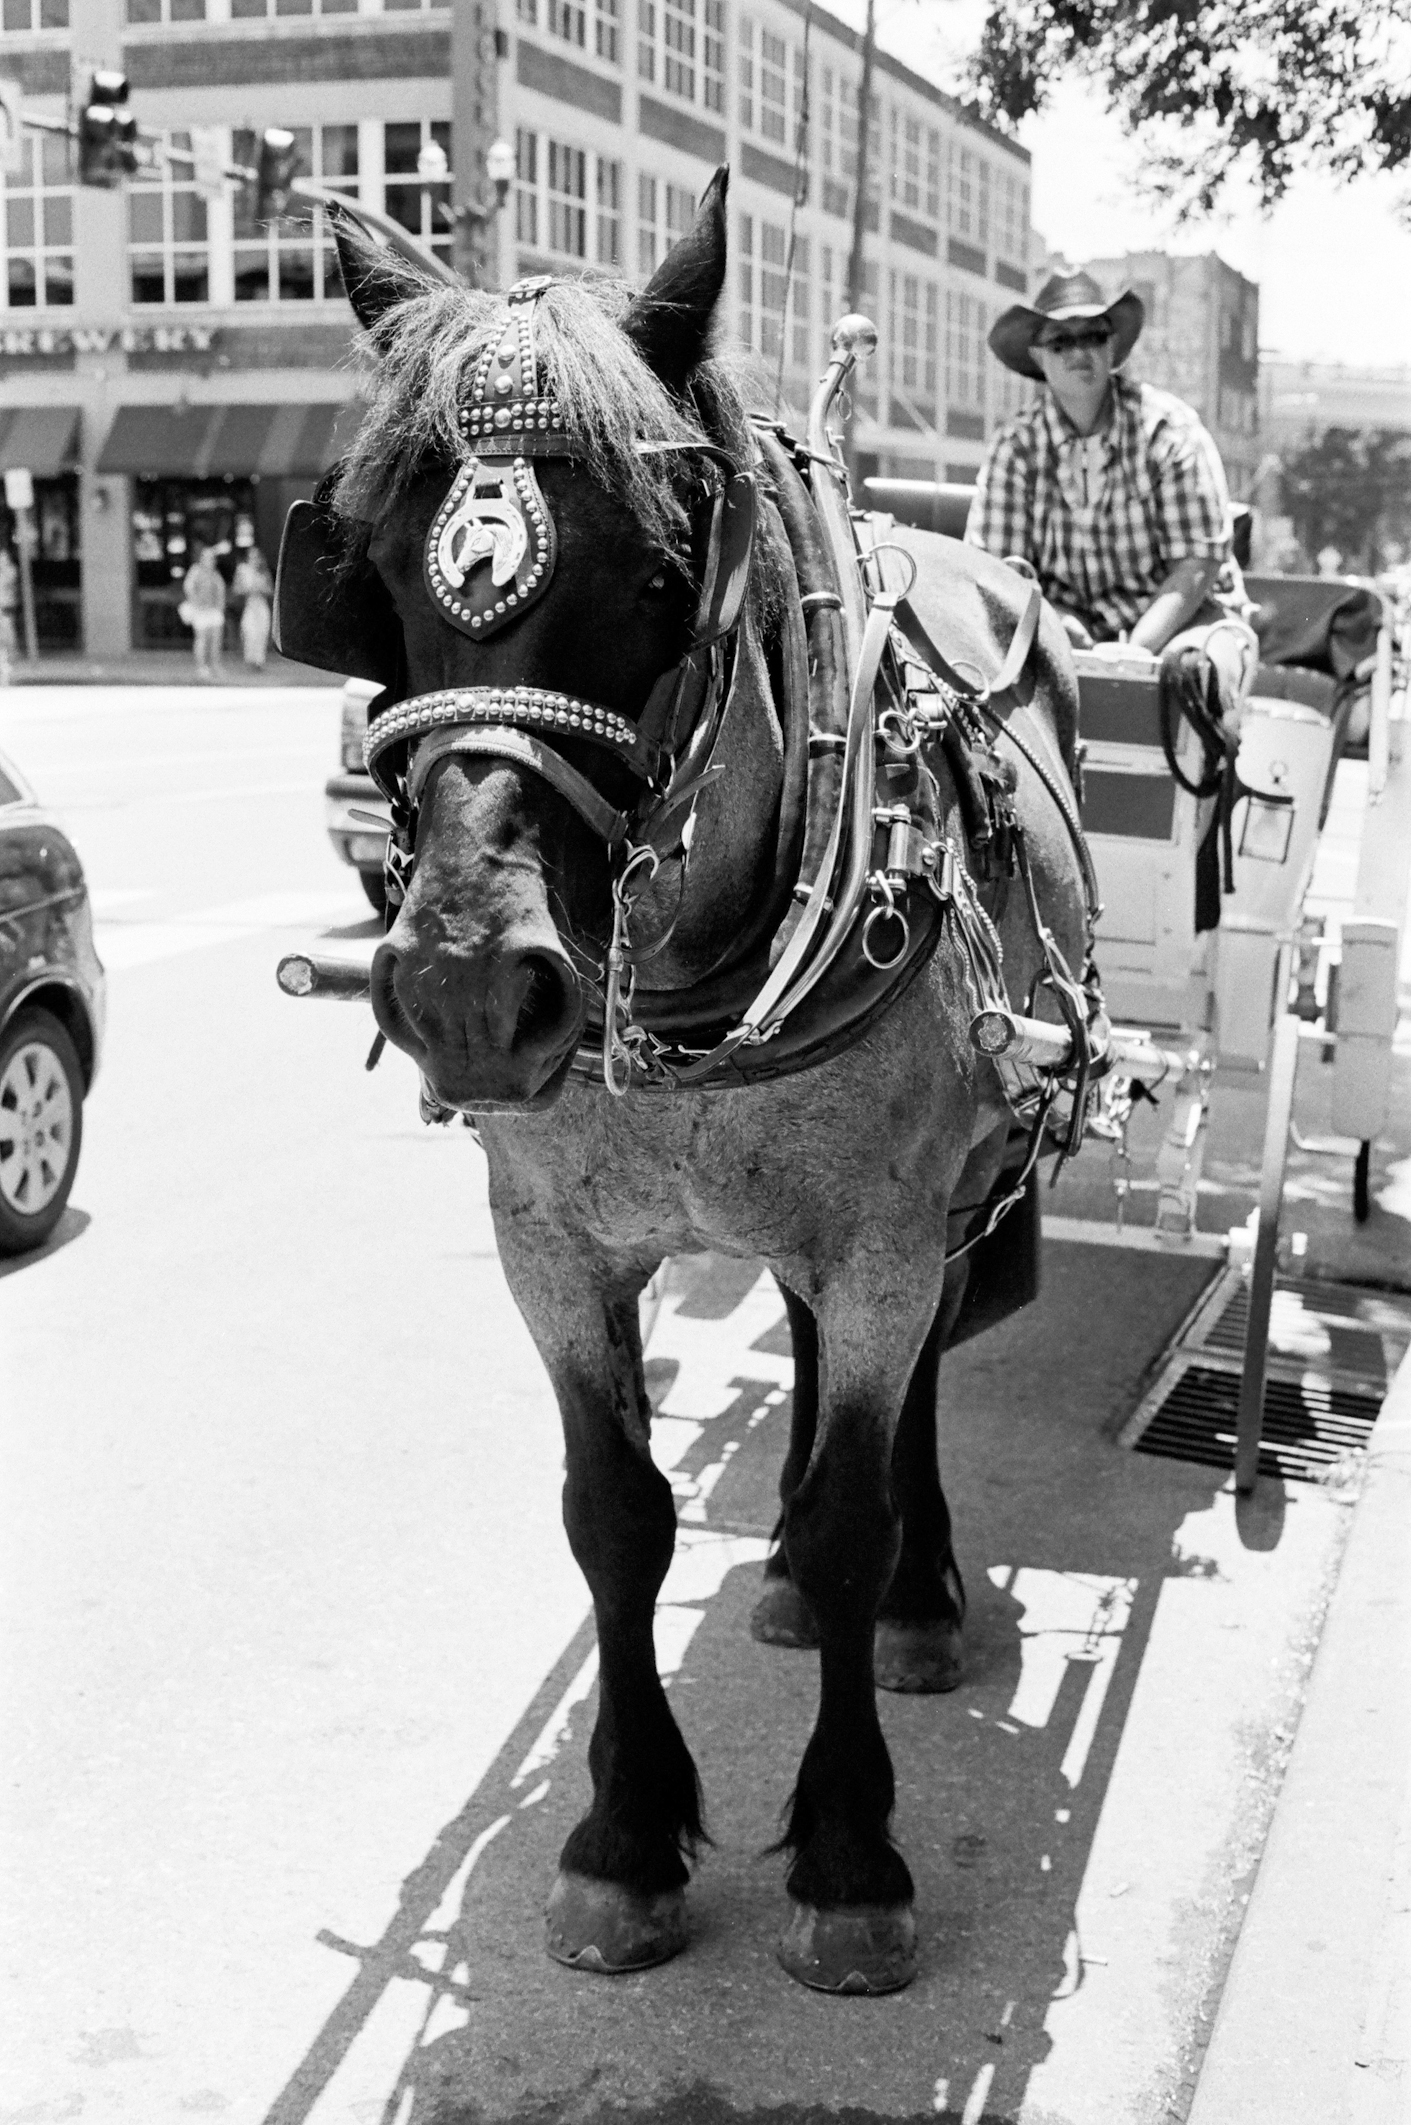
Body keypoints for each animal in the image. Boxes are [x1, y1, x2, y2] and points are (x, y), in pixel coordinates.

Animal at [303, 174, 1083, 1997]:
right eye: (362, 579)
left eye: (658, 575)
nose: (463, 986)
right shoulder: (549, 1244)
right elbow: (615, 1517)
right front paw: (621, 1835)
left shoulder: (884, 1230)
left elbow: (864, 1487)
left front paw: (851, 1851)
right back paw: (784, 1565)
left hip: (947, 1199)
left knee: (907, 1387)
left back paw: (912, 1596)